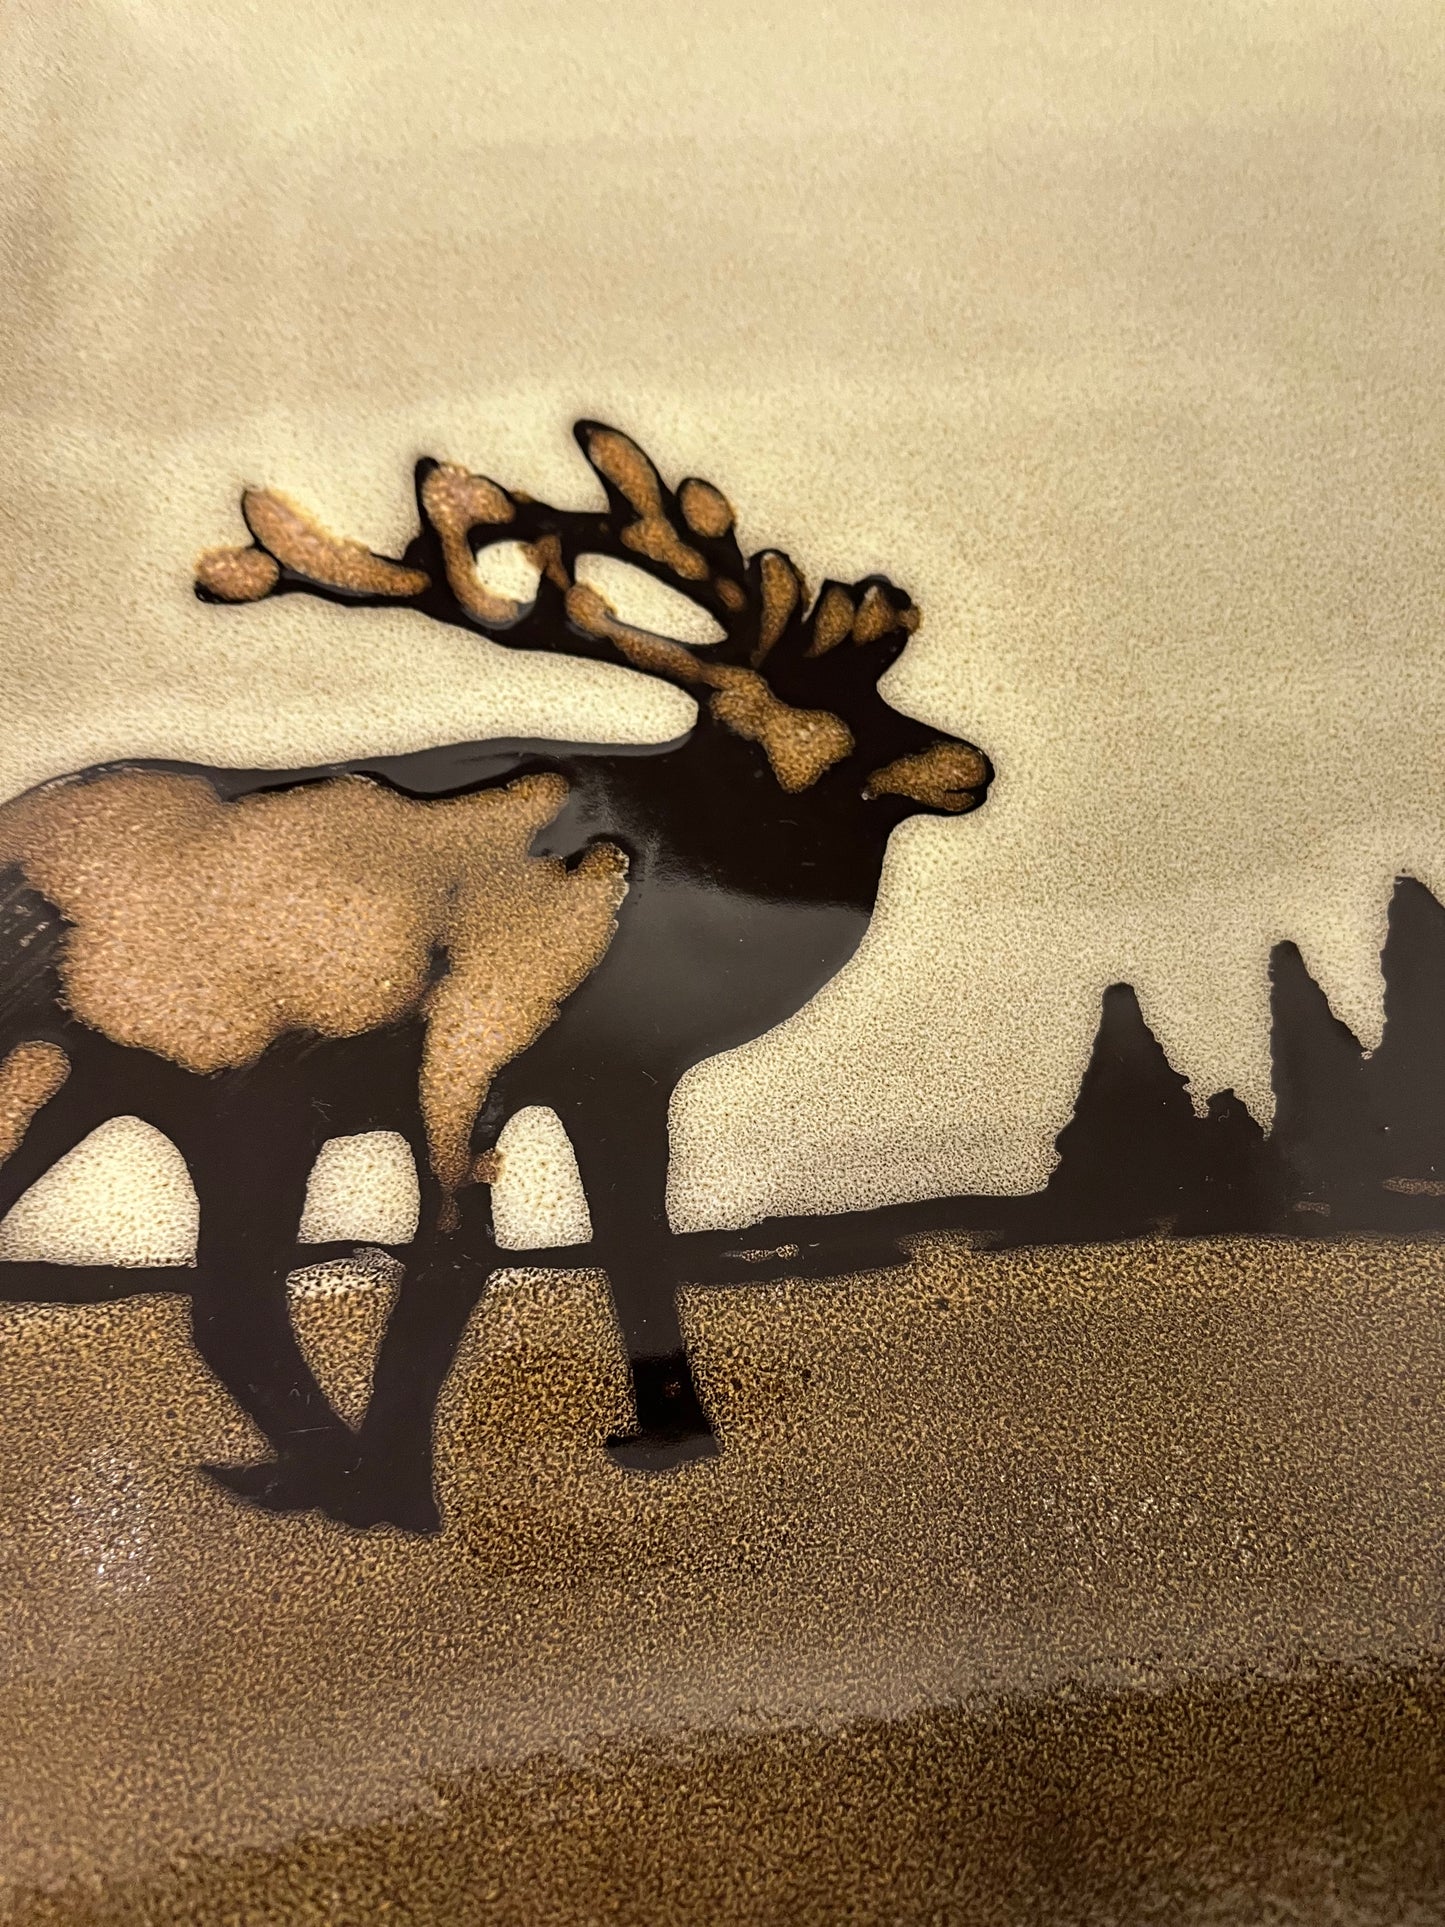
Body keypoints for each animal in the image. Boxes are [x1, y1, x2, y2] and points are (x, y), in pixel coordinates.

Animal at [0, 423, 991, 1531]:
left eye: (883, 698)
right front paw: (402, 1494)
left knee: (220, 1294)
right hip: (221, 1092)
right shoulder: (474, 1031)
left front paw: (670, 1437)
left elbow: (635, 1236)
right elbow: (456, 1248)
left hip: (123, 1092)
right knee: (231, 1296)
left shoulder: (618, 1076)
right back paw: (343, 1479)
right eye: (806, 727)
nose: (974, 765)